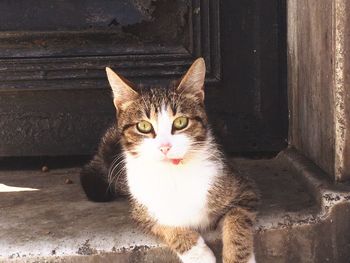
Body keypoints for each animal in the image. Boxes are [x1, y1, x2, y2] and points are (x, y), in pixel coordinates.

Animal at [80, 58, 258, 263]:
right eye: (143, 126)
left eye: (180, 122)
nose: (164, 147)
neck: (173, 171)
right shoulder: (142, 210)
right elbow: (164, 222)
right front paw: (198, 254)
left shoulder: (244, 190)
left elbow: (237, 222)